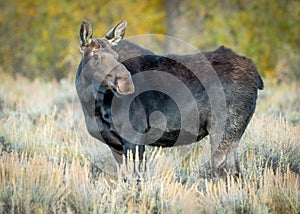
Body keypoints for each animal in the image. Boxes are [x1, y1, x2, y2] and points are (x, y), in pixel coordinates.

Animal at [76, 20, 264, 181]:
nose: (126, 82)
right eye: (94, 55)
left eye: (116, 55)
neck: (92, 106)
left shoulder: (134, 136)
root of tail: (257, 75)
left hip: (224, 128)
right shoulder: (115, 144)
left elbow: (137, 179)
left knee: (224, 171)